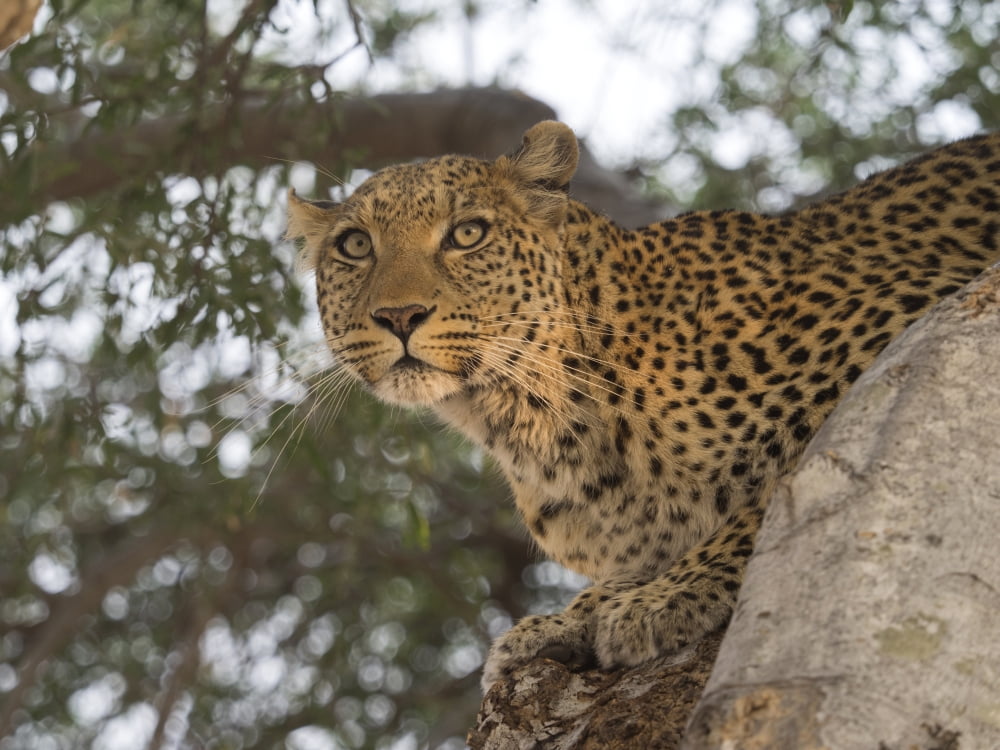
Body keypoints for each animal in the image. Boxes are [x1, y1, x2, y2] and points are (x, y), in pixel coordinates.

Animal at [286, 120, 1000, 692]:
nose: (399, 315)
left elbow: (781, 492)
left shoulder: (922, 322)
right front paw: (566, 619)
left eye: (467, 234)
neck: (538, 419)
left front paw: (669, 595)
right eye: (354, 246)